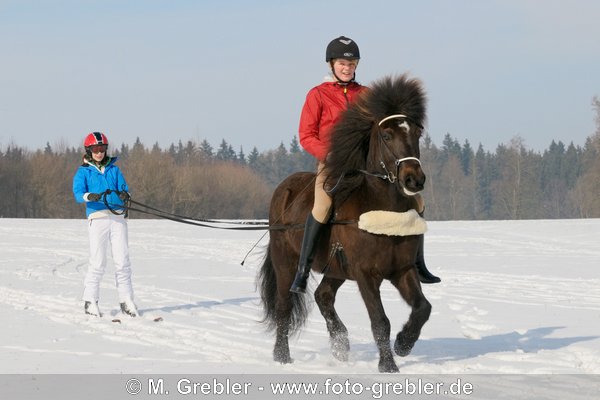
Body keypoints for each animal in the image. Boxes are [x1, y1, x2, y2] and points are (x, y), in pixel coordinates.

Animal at [258, 74, 432, 372]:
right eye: (387, 135)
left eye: (416, 133)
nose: (413, 180)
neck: (382, 206)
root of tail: (283, 189)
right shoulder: (366, 274)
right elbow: (380, 321)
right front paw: (388, 366)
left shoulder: (402, 269)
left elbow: (423, 308)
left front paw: (403, 343)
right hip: (286, 263)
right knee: (284, 307)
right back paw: (282, 356)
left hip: (336, 269)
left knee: (323, 295)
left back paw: (341, 345)